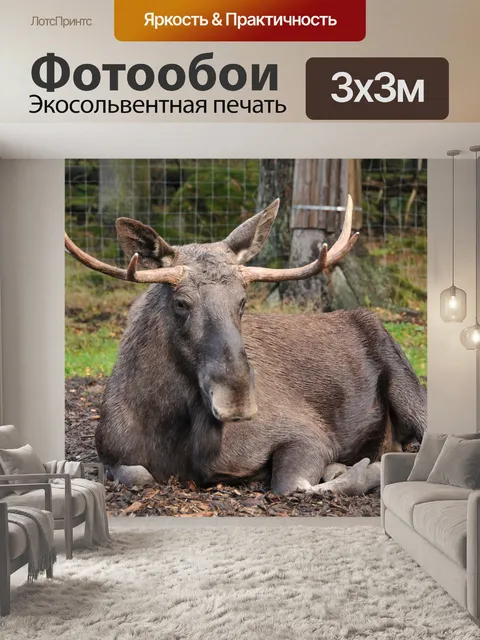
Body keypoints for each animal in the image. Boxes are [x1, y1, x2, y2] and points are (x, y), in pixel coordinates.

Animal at [65, 195, 426, 496]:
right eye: (181, 303)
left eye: (242, 301)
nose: (237, 399)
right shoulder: (109, 452)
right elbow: (139, 474)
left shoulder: (310, 434)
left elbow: (292, 484)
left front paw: (361, 470)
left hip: (407, 385)